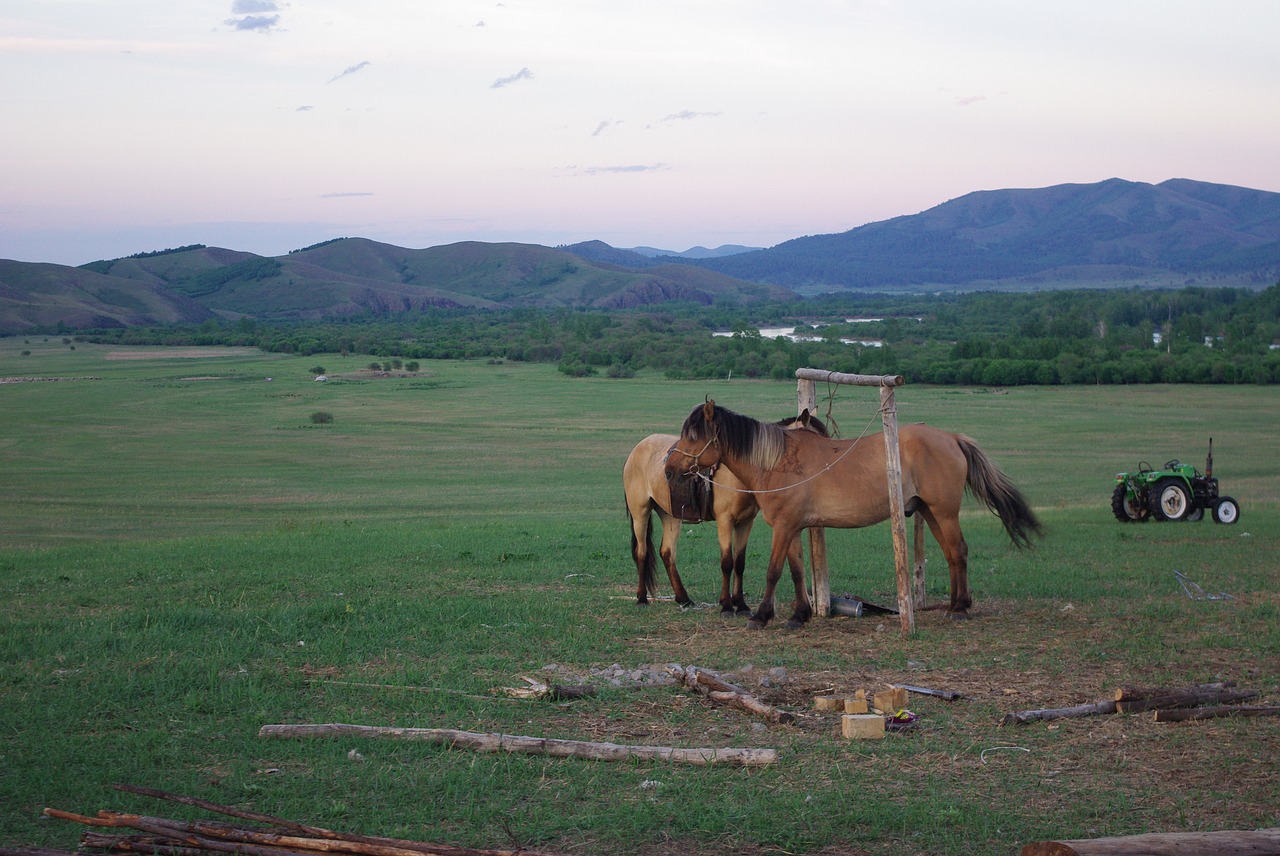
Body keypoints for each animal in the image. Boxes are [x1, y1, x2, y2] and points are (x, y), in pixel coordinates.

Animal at [622, 409, 829, 611]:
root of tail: (638, 449)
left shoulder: (745, 522)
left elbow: (739, 562)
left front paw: (740, 603)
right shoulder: (725, 521)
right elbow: (727, 562)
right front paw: (726, 604)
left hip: (670, 515)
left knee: (667, 553)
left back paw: (683, 598)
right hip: (640, 513)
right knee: (642, 552)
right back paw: (642, 598)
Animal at [665, 401, 1044, 626]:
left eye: (693, 435)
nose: (668, 468)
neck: (777, 460)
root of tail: (951, 437)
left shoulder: (784, 527)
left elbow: (774, 571)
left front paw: (760, 615)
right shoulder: (793, 527)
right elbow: (797, 571)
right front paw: (800, 614)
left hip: (945, 513)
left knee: (960, 552)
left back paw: (961, 608)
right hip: (932, 513)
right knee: (953, 554)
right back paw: (954, 605)